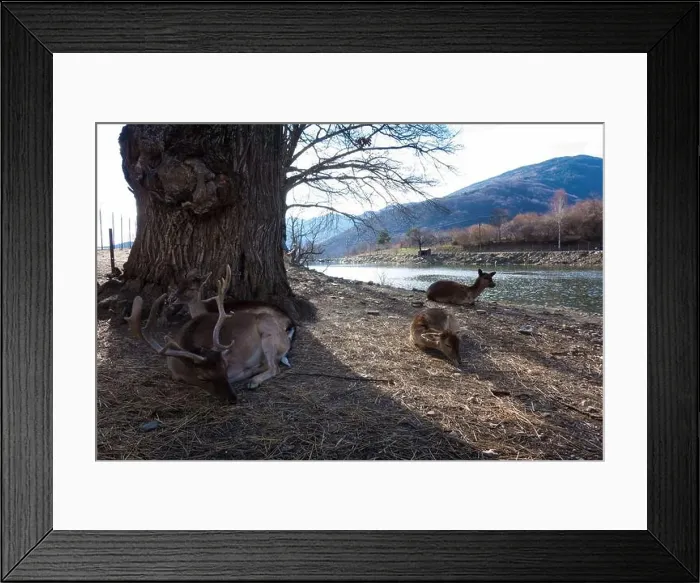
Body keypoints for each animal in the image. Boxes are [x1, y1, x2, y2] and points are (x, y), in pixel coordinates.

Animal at [125, 271, 295, 403]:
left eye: (225, 367)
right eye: (203, 377)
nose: (233, 398)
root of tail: (289, 326)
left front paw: (249, 374)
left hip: (268, 335)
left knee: (274, 367)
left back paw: (253, 381)